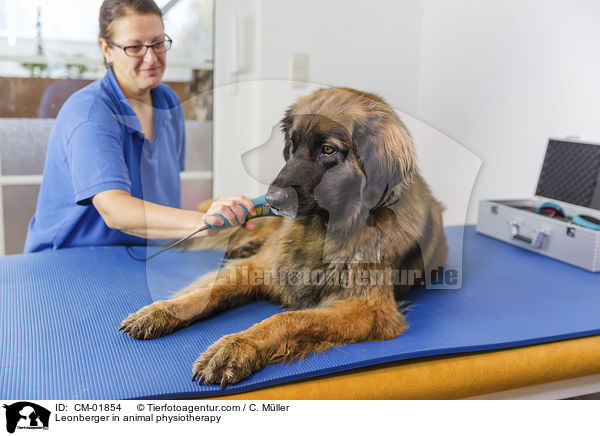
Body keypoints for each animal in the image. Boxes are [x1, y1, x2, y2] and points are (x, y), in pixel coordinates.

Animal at [118, 86, 446, 388]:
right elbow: (206, 291)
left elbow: (288, 318)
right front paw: (162, 310)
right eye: (292, 144)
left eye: (328, 150)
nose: (272, 200)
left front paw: (236, 346)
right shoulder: (262, 267)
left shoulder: (369, 310)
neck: (325, 229)